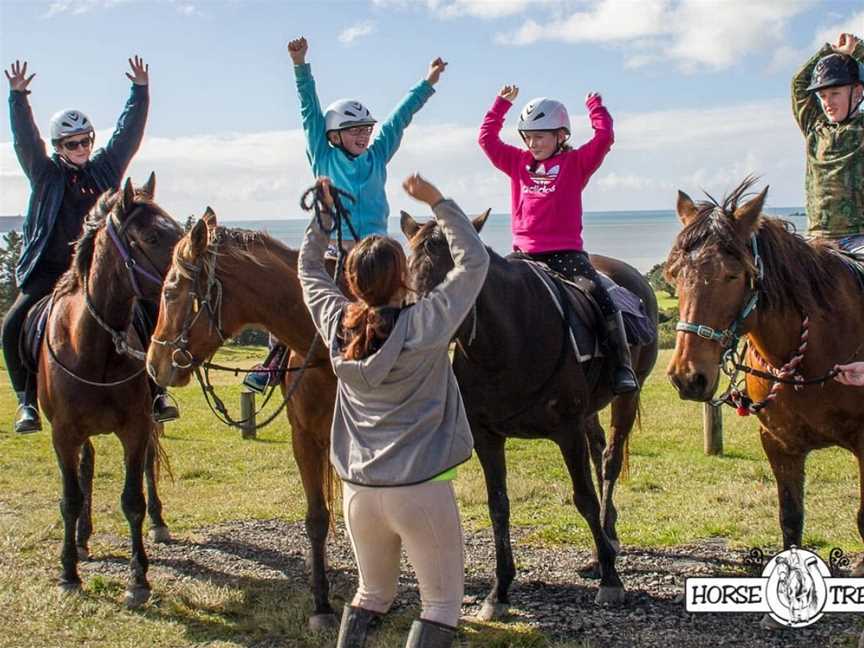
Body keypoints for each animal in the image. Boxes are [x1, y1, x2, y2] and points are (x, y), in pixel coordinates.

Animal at [41, 175, 183, 604]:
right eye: (152, 236)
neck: (95, 349)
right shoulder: (63, 434)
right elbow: (70, 498)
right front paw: (68, 571)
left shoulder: (135, 428)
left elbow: (133, 499)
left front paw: (138, 579)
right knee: (86, 470)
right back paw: (82, 539)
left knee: (149, 467)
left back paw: (158, 522)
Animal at [402, 211, 660, 616]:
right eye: (409, 266)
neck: (505, 344)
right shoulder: (487, 436)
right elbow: (498, 506)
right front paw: (500, 591)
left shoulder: (567, 430)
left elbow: (584, 498)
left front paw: (611, 580)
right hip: (589, 411)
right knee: (598, 448)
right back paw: (606, 541)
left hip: (627, 396)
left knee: (610, 460)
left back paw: (605, 546)